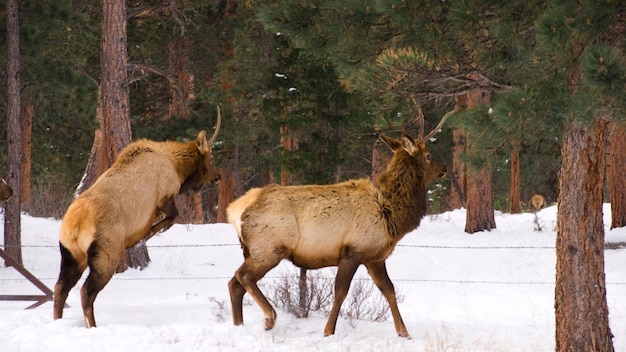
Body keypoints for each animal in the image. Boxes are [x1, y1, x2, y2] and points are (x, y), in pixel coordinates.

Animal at [53, 109, 222, 328]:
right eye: (212, 159)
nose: (218, 176)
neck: (178, 168)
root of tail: (74, 226)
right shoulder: (165, 197)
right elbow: (172, 218)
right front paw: (142, 238)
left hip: (71, 254)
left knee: (60, 288)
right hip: (105, 254)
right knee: (86, 291)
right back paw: (93, 325)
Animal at [227, 110, 450, 338]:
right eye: (428, 155)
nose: (445, 167)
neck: (391, 214)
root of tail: (234, 211)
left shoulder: (374, 258)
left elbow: (389, 290)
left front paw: (404, 333)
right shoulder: (353, 251)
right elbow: (341, 292)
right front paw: (328, 331)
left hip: (253, 251)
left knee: (234, 284)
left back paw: (238, 326)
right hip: (269, 248)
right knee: (242, 276)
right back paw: (269, 318)